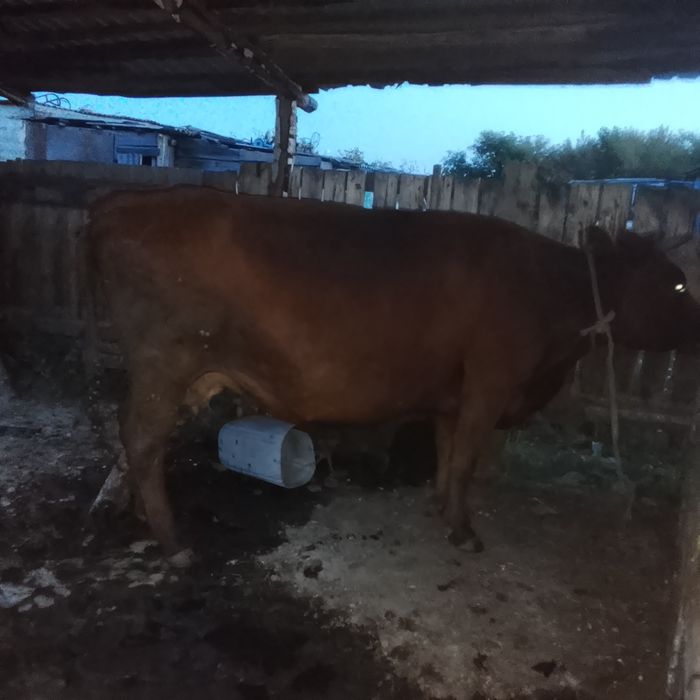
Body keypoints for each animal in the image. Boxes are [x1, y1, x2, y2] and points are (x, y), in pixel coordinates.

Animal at [84, 186, 700, 559]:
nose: (699, 318)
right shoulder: (490, 383)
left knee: (135, 435)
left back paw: (136, 511)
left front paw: (441, 508)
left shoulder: (454, 394)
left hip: (180, 375)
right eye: (676, 282)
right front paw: (464, 530)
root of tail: (123, 203)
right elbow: (466, 460)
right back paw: (172, 537)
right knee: (142, 437)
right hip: (165, 362)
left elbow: (449, 455)